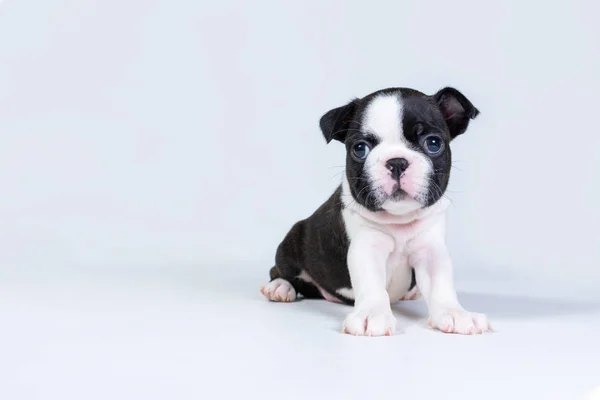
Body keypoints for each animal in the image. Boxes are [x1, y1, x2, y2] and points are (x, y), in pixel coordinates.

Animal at [258, 86, 492, 336]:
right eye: (360, 149)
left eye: (433, 143)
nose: (397, 162)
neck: (400, 221)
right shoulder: (366, 248)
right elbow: (371, 284)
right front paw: (372, 315)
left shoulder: (431, 250)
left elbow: (441, 284)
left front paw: (456, 314)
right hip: (292, 240)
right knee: (280, 270)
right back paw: (280, 287)